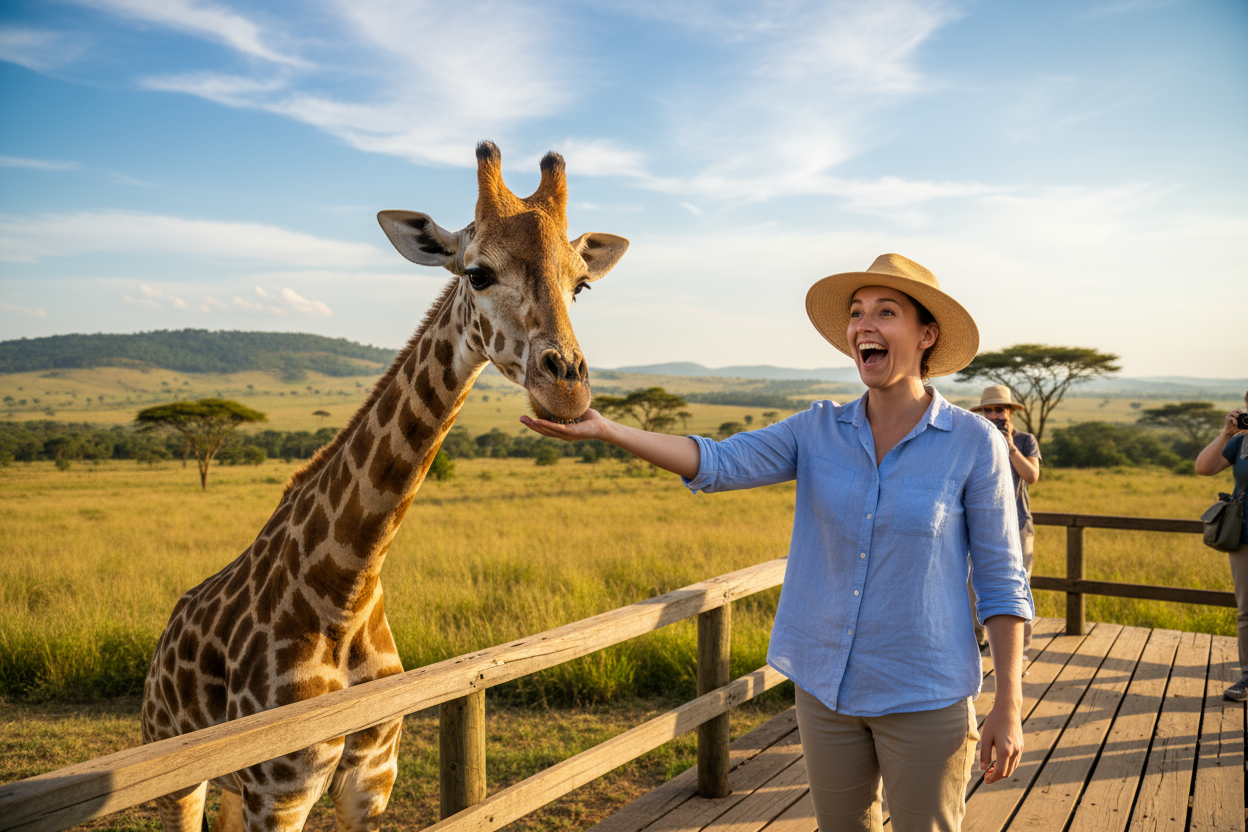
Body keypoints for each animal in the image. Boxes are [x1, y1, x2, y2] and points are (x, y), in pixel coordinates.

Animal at [140, 141, 629, 832]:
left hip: (232, 789)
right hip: (180, 771)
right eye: (477, 274)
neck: (345, 590)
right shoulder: (281, 791)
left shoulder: (370, 779)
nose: (567, 389)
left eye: (580, 284)